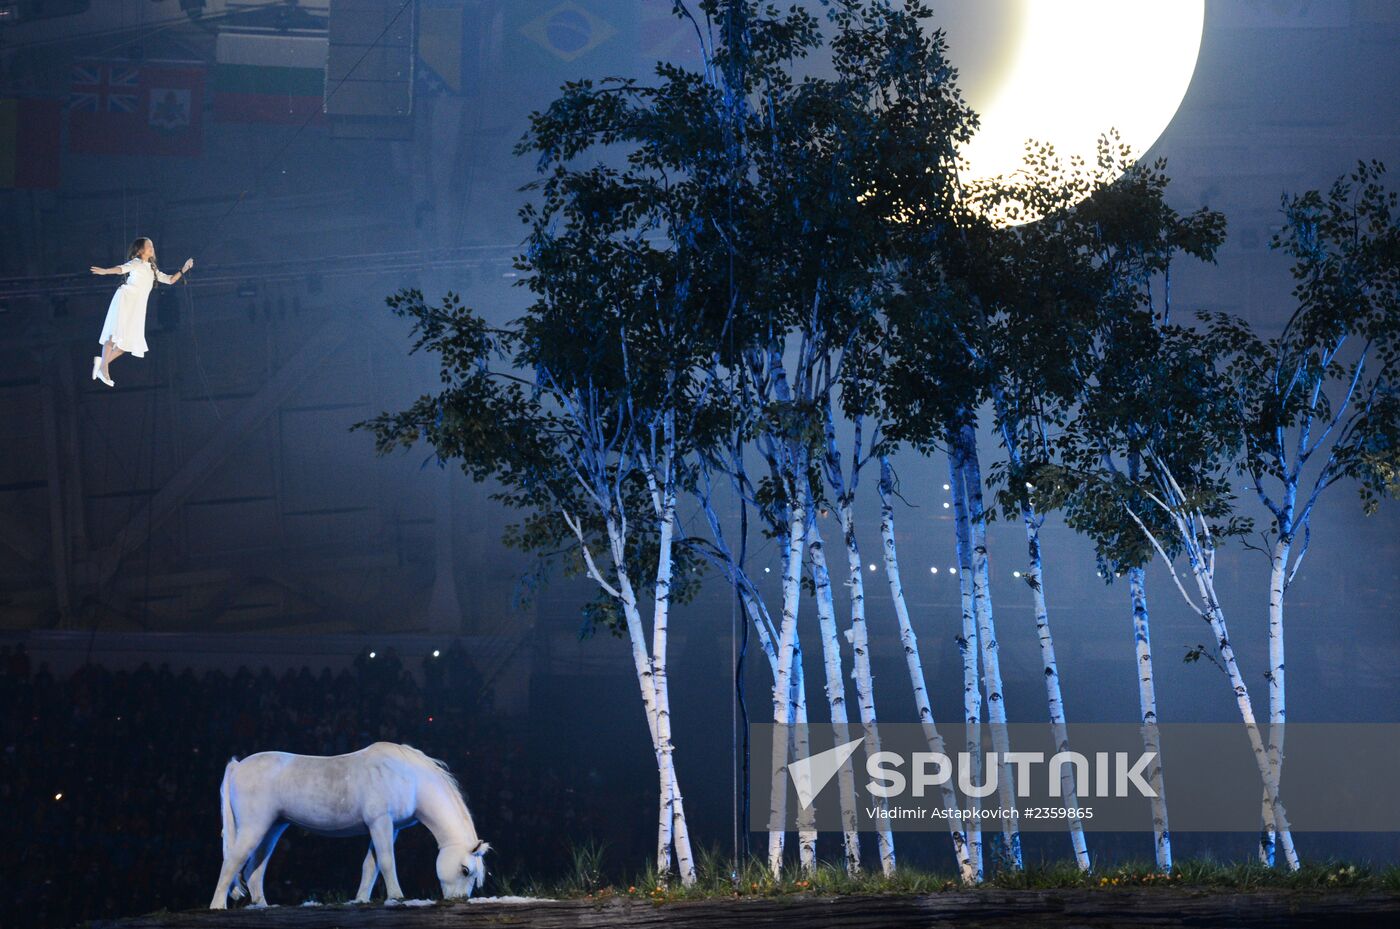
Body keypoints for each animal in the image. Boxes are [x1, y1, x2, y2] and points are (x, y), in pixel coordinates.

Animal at [210, 738, 490, 906]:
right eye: (465, 870)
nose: (458, 901)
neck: (410, 778)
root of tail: (238, 765)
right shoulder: (380, 823)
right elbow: (386, 862)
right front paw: (397, 897)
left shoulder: (388, 828)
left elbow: (370, 866)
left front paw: (361, 900)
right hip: (253, 828)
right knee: (231, 863)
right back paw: (218, 906)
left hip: (272, 828)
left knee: (252, 869)